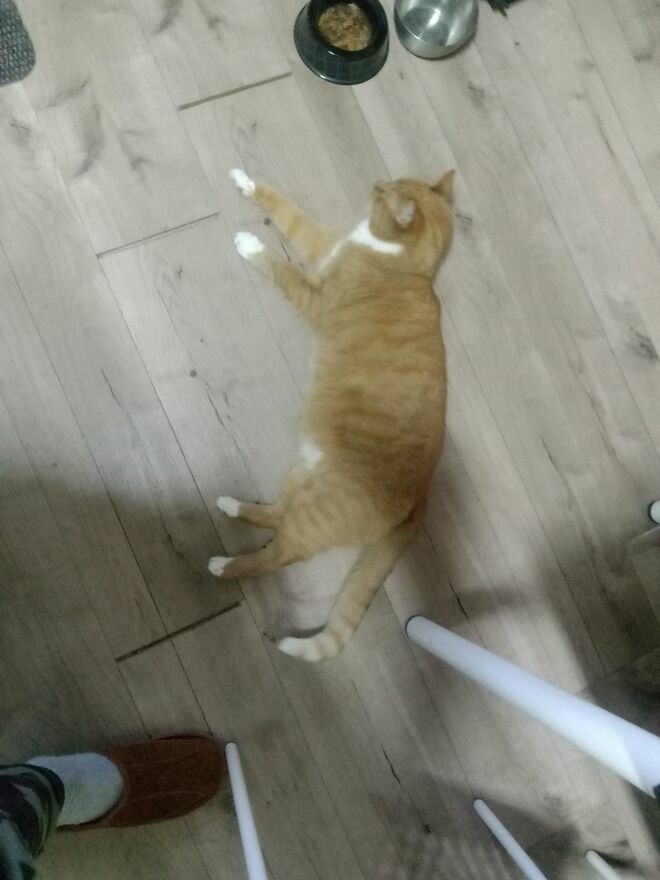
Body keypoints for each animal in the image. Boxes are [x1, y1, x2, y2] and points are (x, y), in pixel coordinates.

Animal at [209, 168, 455, 661]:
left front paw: (250, 245)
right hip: (303, 477)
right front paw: (246, 182)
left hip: (315, 513)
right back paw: (232, 506)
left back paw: (225, 566)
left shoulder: (313, 296)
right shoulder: (320, 241)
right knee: (274, 516)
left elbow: (279, 266)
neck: (406, 264)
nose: (378, 183)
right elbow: (282, 207)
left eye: (389, 191)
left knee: (278, 556)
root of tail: (423, 493)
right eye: (397, 181)